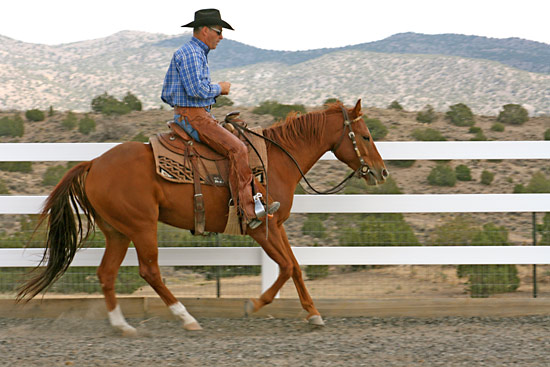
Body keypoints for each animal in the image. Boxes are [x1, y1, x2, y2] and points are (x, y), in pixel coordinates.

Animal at [18, 99, 388, 334]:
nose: (381, 172)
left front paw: (313, 314)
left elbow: (295, 266)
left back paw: (123, 326)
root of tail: (93, 163)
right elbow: (284, 267)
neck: (275, 160)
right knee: (150, 271)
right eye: (366, 136)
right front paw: (254, 304)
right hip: (141, 227)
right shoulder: (260, 227)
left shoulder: (276, 224)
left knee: (106, 274)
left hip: (118, 232)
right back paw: (186, 318)